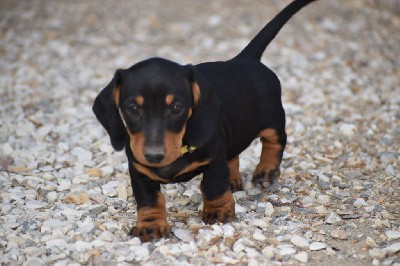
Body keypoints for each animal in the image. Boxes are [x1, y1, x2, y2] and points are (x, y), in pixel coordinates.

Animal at [93, 0, 316, 241]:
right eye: (132, 108)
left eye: (177, 107)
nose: (153, 155)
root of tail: (244, 59)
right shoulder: (139, 171)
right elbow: (149, 200)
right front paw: (151, 225)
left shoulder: (214, 158)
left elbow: (213, 186)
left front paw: (218, 211)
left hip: (272, 119)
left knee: (275, 141)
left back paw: (266, 171)